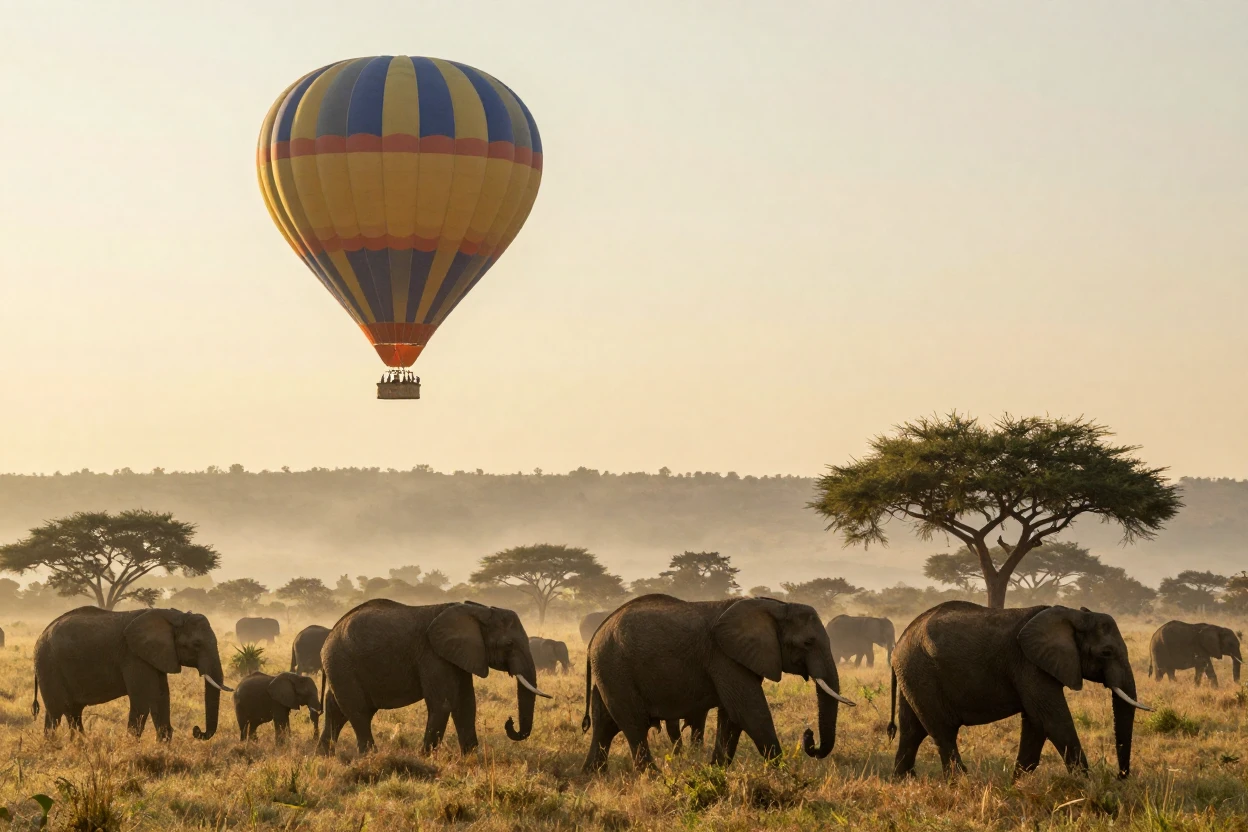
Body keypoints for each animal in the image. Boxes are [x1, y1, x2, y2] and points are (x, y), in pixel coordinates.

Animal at [33, 606, 233, 741]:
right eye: (197, 644)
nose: (197, 730)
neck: (173, 616)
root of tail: (41, 634)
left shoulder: (155, 656)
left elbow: (161, 697)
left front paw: (163, 746)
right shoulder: (133, 655)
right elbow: (142, 700)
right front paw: (131, 746)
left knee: (68, 711)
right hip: (48, 665)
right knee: (59, 711)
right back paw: (63, 746)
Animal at [317, 599, 551, 755]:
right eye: (509, 644)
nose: (509, 721)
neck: (477, 610)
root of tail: (330, 634)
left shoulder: (459, 655)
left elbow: (466, 703)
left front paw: (471, 757)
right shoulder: (433, 654)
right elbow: (444, 703)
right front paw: (425, 757)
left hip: (340, 667)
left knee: (336, 710)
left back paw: (324, 756)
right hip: (342, 664)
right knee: (358, 711)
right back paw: (371, 757)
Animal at [581, 594, 855, 773]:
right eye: (808, 642)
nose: (809, 735)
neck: (776, 607)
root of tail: (596, 634)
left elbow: (732, 716)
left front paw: (715, 772)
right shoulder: (724, 656)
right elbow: (749, 711)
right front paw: (784, 773)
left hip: (609, 670)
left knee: (605, 723)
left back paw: (593, 775)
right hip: (615, 668)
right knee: (633, 723)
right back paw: (652, 777)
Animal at [888, 601, 1150, 780]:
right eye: (1106, 652)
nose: (1120, 777)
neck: (1074, 615)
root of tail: (900, 640)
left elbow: (1036, 724)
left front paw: (1016, 784)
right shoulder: (1029, 663)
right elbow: (1054, 721)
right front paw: (1086, 786)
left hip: (912, 675)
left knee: (912, 730)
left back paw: (905, 781)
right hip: (921, 673)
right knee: (942, 731)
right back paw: (960, 782)